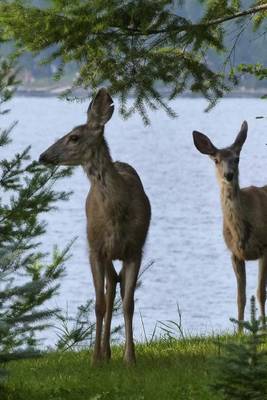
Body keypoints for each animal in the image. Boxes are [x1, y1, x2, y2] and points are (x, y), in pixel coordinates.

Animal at [38, 88, 151, 366]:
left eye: (74, 137)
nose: (43, 156)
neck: (117, 213)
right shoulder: (95, 248)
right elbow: (98, 303)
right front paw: (95, 358)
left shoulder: (136, 249)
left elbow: (129, 303)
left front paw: (130, 358)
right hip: (99, 247)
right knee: (109, 288)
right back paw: (104, 352)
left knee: (115, 284)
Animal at [194, 122, 267, 328]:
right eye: (216, 160)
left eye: (237, 158)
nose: (228, 175)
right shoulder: (234, 253)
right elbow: (240, 297)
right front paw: (240, 330)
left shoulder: (265, 247)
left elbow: (260, 293)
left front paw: (263, 327)